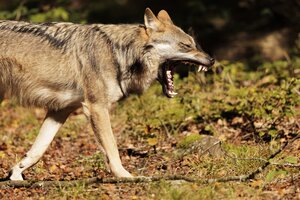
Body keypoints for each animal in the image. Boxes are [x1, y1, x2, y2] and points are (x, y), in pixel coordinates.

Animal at [0, 7, 216, 180]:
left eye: (193, 43)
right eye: (186, 46)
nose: (212, 60)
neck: (118, 53)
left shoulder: (60, 110)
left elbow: (37, 150)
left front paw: (16, 175)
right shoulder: (97, 108)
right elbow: (112, 147)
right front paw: (126, 177)